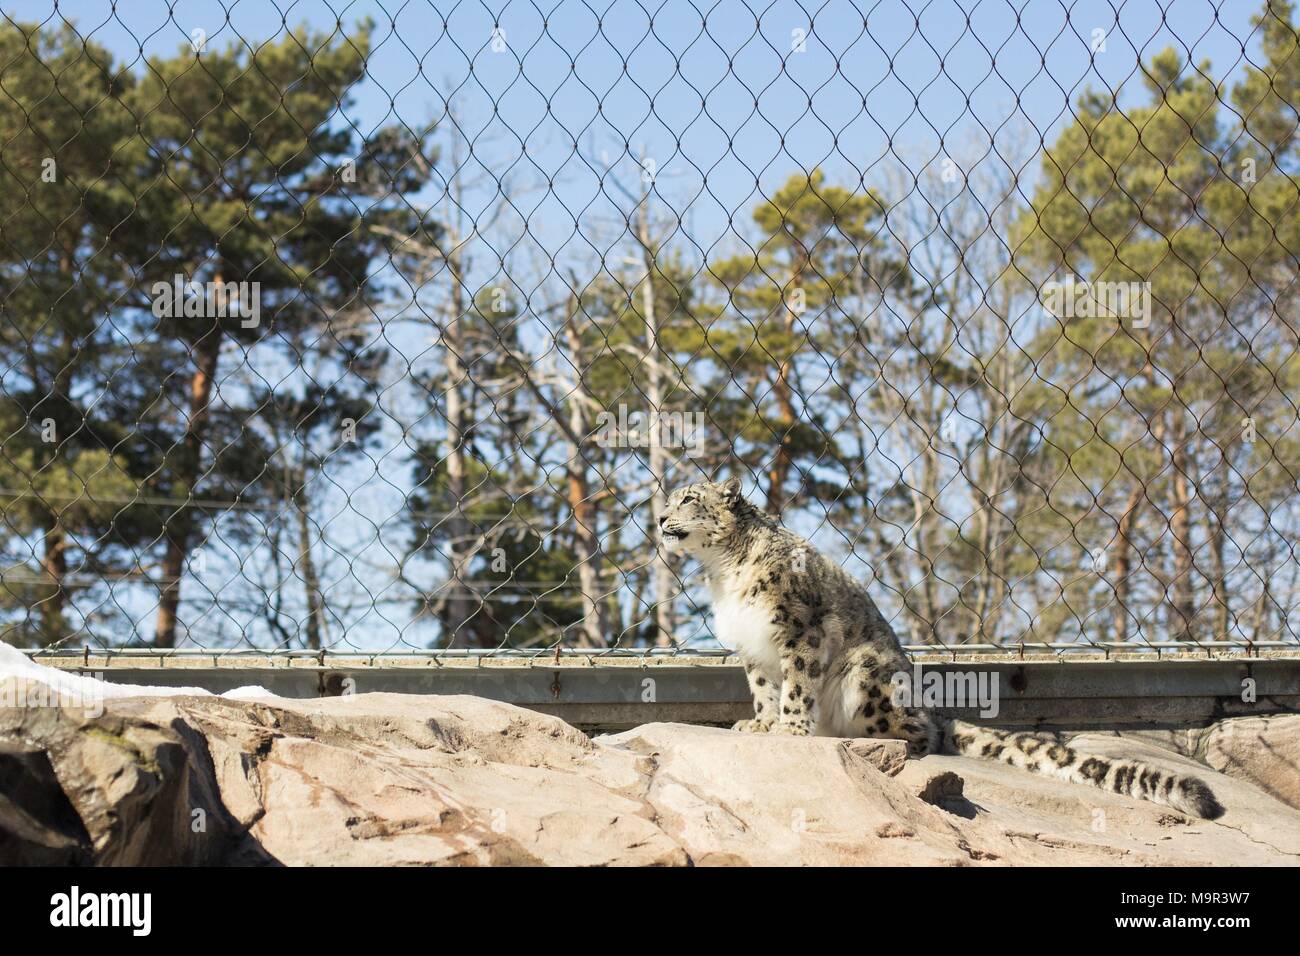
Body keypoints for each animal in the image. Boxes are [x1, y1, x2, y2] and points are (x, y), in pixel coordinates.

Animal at [659, 476, 1224, 819]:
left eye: (688, 500)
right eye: (669, 500)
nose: (661, 520)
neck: (725, 572)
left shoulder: (801, 628)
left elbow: (796, 682)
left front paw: (790, 729)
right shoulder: (754, 648)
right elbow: (764, 688)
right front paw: (759, 723)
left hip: (868, 674)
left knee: (919, 734)